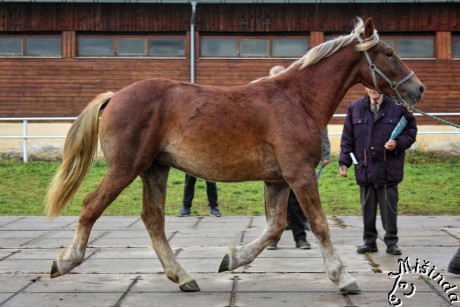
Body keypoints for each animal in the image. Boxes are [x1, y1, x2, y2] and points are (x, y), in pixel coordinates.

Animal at [44, 17, 424, 296]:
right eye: (389, 52)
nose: (417, 88)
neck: (297, 98)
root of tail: (114, 96)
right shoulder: (299, 173)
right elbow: (317, 223)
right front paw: (343, 277)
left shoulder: (278, 179)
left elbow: (274, 228)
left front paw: (231, 259)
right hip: (126, 168)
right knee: (91, 206)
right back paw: (65, 262)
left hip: (155, 169)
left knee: (153, 219)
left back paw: (183, 277)